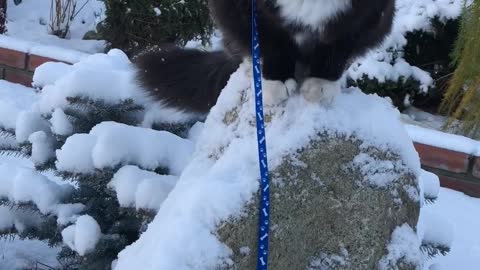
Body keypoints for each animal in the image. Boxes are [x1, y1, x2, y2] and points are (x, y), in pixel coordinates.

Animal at [134, 0, 394, 115]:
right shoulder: (251, 11)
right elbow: (272, 44)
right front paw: (275, 82)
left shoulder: (365, 15)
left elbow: (336, 49)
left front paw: (321, 84)